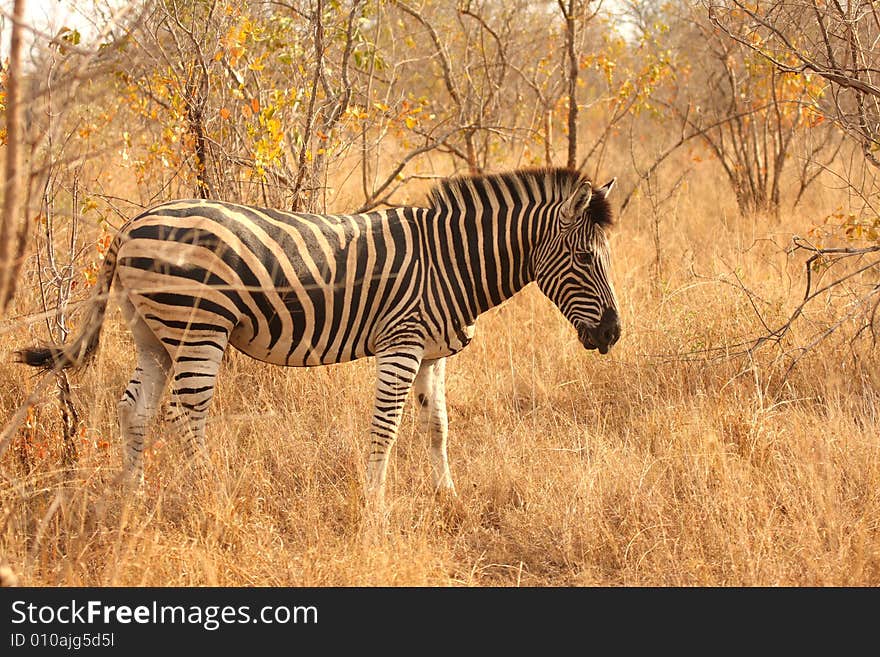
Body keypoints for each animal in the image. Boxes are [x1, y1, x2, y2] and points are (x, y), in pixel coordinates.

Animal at [18, 168, 620, 502]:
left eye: (607, 257)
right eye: (584, 259)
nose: (614, 335)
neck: (451, 262)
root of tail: (130, 226)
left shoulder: (433, 354)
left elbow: (438, 426)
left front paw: (446, 496)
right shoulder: (401, 345)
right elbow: (386, 428)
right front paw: (375, 507)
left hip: (151, 333)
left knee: (135, 409)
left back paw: (133, 495)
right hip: (197, 328)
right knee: (184, 414)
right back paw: (208, 495)